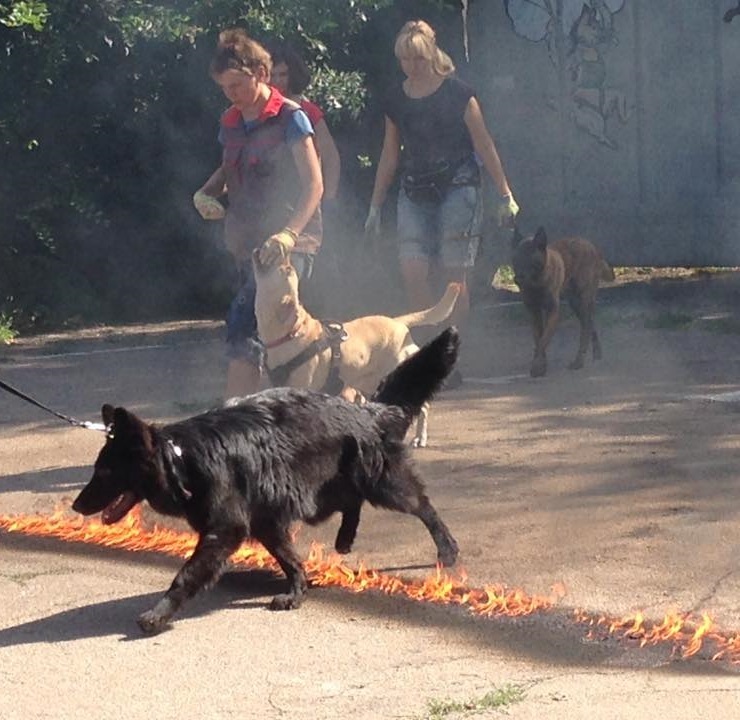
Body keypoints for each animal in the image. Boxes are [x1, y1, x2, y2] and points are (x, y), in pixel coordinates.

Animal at [72, 330, 460, 632]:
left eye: (104, 472)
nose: (76, 506)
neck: (182, 460)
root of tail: (366, 410)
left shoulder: (226, 530)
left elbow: (186, 575)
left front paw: (159, 614)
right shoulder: (266, 523)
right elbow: (289, 559)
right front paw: (298, 590)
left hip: (383, 485)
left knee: (422, 505)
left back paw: (447, 548)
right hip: (324, 493)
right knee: (352, 502)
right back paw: (345, 538)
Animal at [256, 250, 462, 448]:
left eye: (287, 270)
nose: (284, 254)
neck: (291, 333)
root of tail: (399, 322)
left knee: (423, 408)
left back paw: (420, 437)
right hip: (368, 384)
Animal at [516, 228, 612, 376]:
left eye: (530, 259)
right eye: (515, 259)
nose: (517, 279)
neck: (537, 284)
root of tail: (593, 247)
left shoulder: (553, 312)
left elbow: (543, 340)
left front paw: (537, 367)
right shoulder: (534, 313)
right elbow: (539, 340)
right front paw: (541, 365)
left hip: (582, 302)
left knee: (585, 329)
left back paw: (579, 361)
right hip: (576, 304)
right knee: (591, 323)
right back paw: (597, 354)